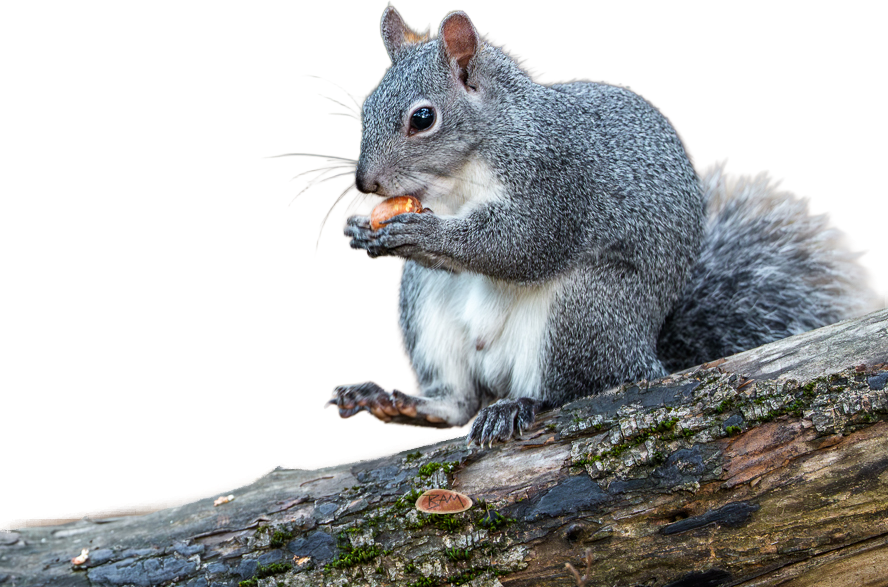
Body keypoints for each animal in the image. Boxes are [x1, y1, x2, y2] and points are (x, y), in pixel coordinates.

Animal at [287, 7, 888, 446]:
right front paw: (360, 232)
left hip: (583, 313)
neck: (461, 175)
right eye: (367, 107)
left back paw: (521, 404)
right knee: (459, 400)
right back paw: (394, 400)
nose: (365, 181)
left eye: (422, 118)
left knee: (573, 389)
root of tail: (647, 358)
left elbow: (521, 245)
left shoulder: (558, 184)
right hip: (423, 305)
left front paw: (417, 234)